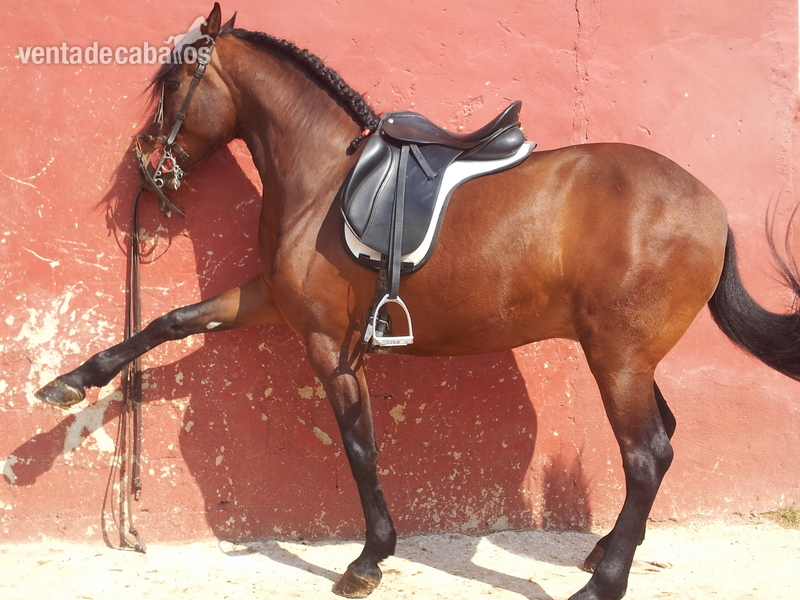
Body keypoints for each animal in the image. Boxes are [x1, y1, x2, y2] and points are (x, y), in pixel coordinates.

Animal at [34, 5, 800, 600]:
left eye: (171, 83)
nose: (144, 165)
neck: (324, 177)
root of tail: (710, 204)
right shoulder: (272, 302)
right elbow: (169, 321)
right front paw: (70, 381)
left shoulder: (326, 341)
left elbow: (359, 444)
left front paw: (369, 559)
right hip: (630, 358)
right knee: (662, 444)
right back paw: (604, 553)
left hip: (618, 358)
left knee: (644, 455)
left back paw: (603, 581)